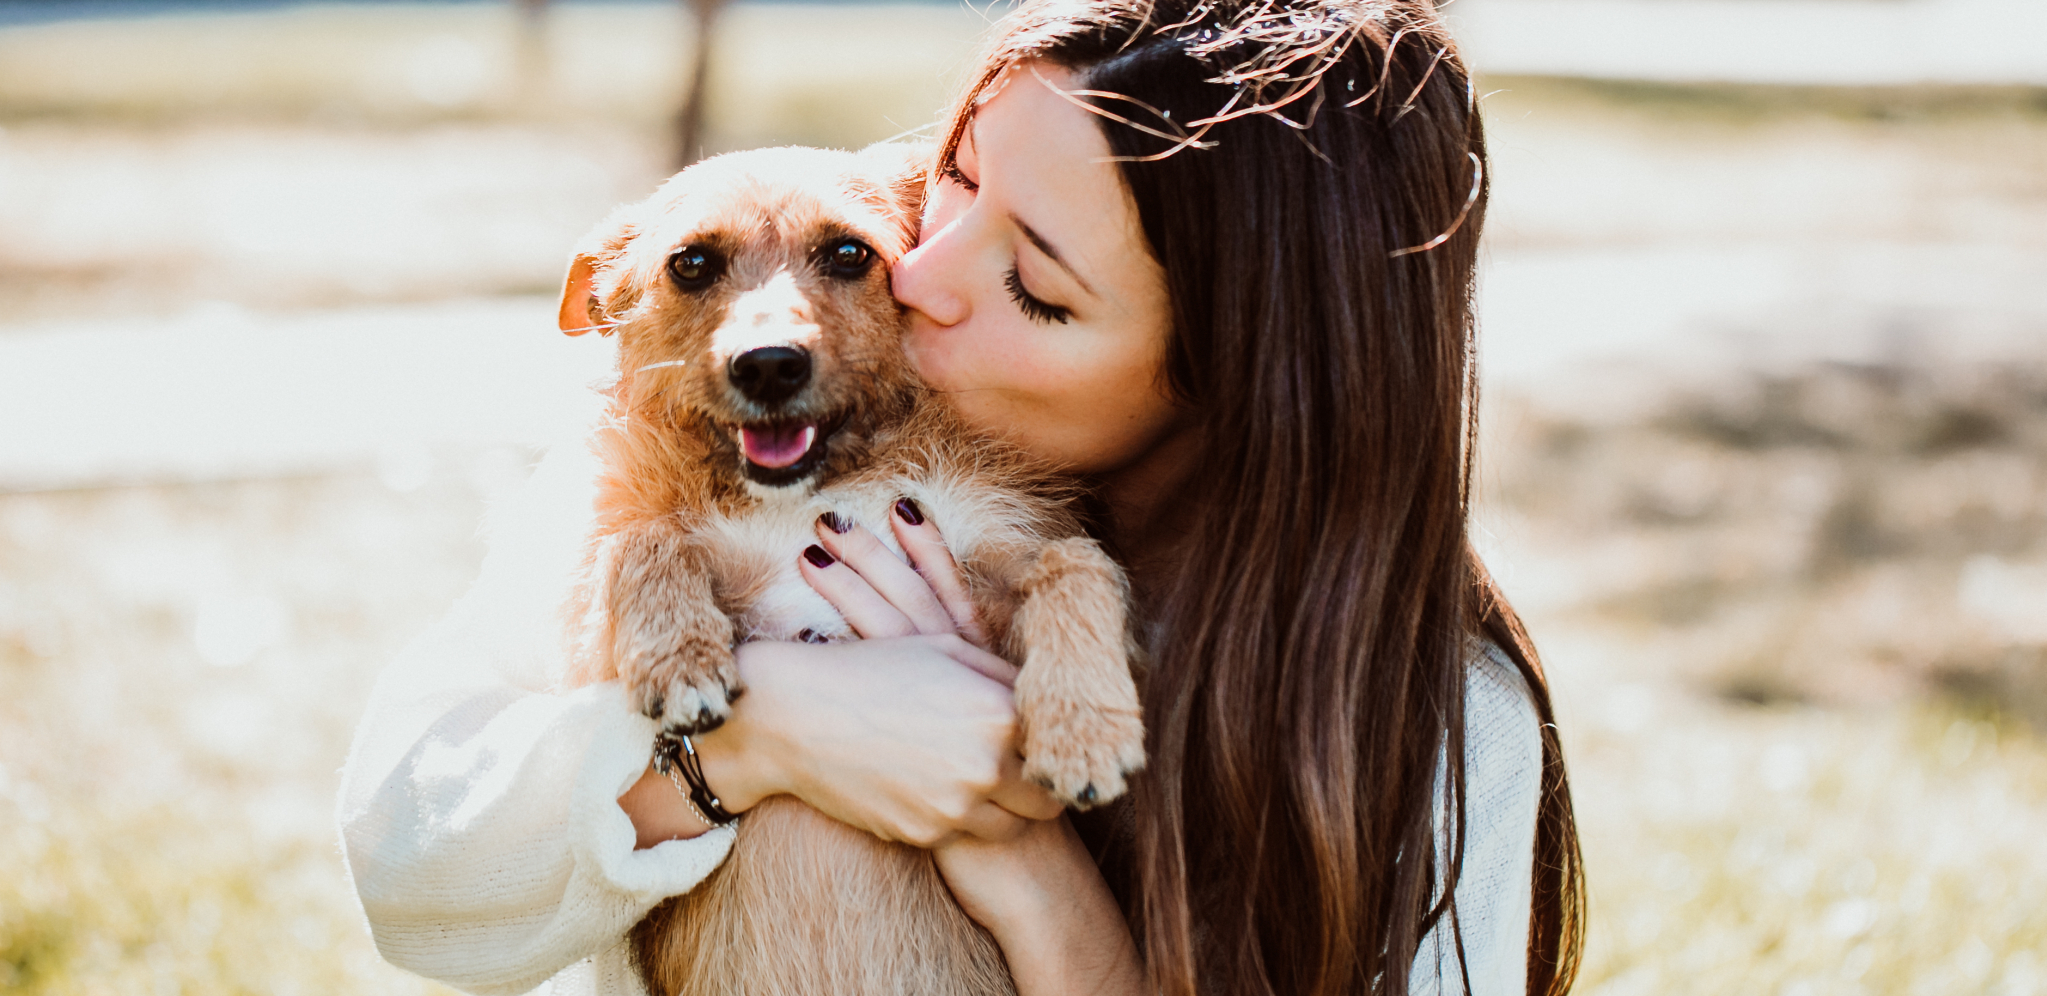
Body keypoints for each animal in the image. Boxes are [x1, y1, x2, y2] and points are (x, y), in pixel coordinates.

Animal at [552, 146, 1146, 996]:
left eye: (847, 253)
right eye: (691, 263)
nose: (768, 366)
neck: (822, 490)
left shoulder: (995, 564)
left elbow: (1074, 560)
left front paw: (1084, 726)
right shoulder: (589, 656)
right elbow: (641, 537)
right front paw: (677, 655)